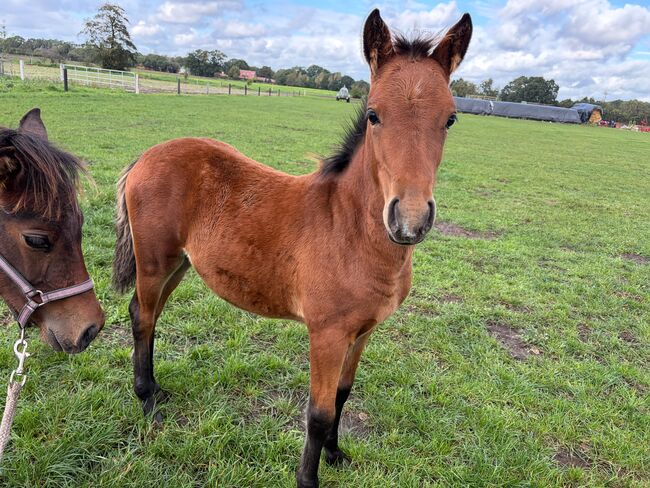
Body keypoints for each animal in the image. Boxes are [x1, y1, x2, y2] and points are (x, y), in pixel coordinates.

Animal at [113, 9, 472, 487]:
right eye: (373, 114)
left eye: (450, 119)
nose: (410, 219)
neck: (349, 231)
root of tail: (146, 156)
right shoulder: (326, 334)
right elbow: (317, 413)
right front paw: (308, 478)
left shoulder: (363, 332)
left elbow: (342, 395)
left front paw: (336, 454)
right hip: (154, 261)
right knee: (143, 316)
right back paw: (147, 400)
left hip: (180, 265)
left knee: (148, 314)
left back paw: (154, 390)